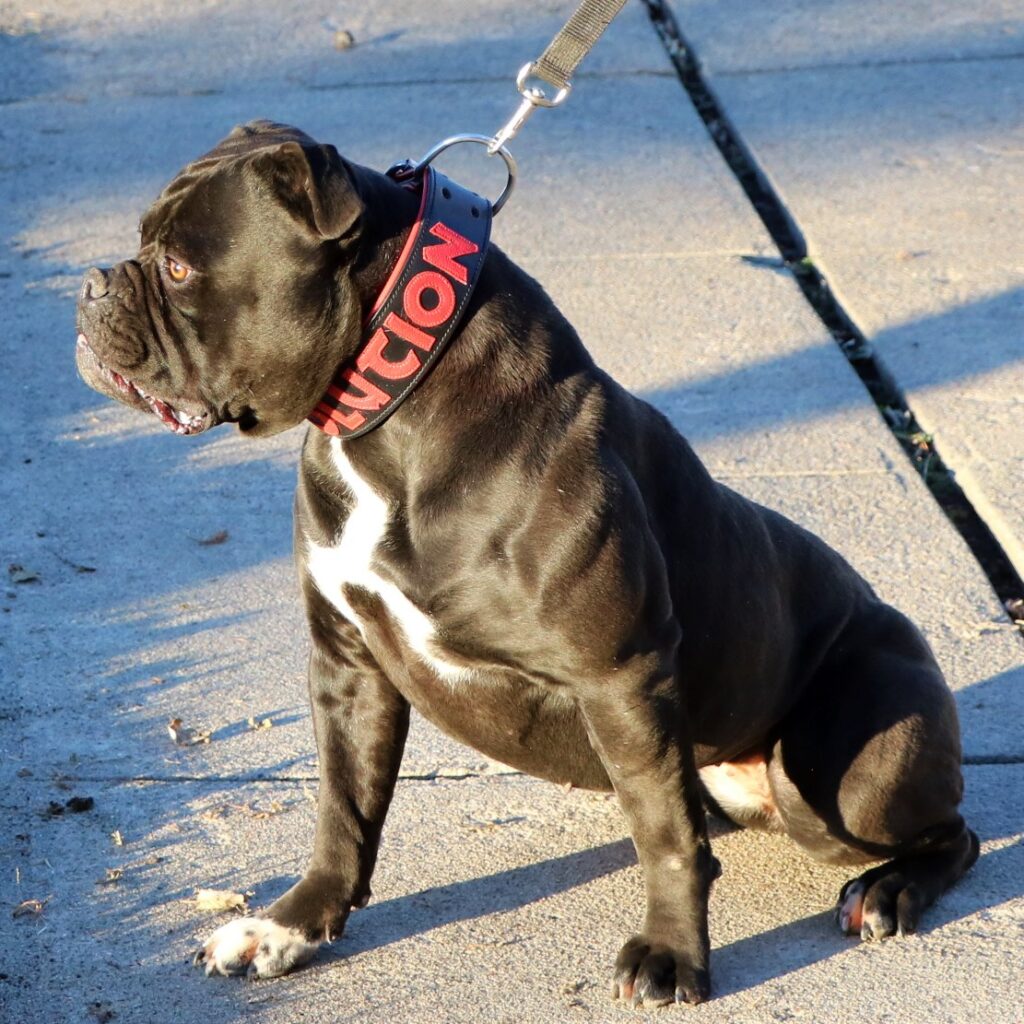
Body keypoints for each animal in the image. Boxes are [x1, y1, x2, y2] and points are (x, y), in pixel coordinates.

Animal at [75, 121, 978, 1007]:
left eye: (179, 267)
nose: (89, 286)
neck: (389, 416)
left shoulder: (619, 674)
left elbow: (667, 839)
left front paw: (673, 955)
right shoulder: (348, 662)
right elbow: (342, 809)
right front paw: (287, 927)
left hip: (839, 779)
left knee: (952, 833)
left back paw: (888, 890)